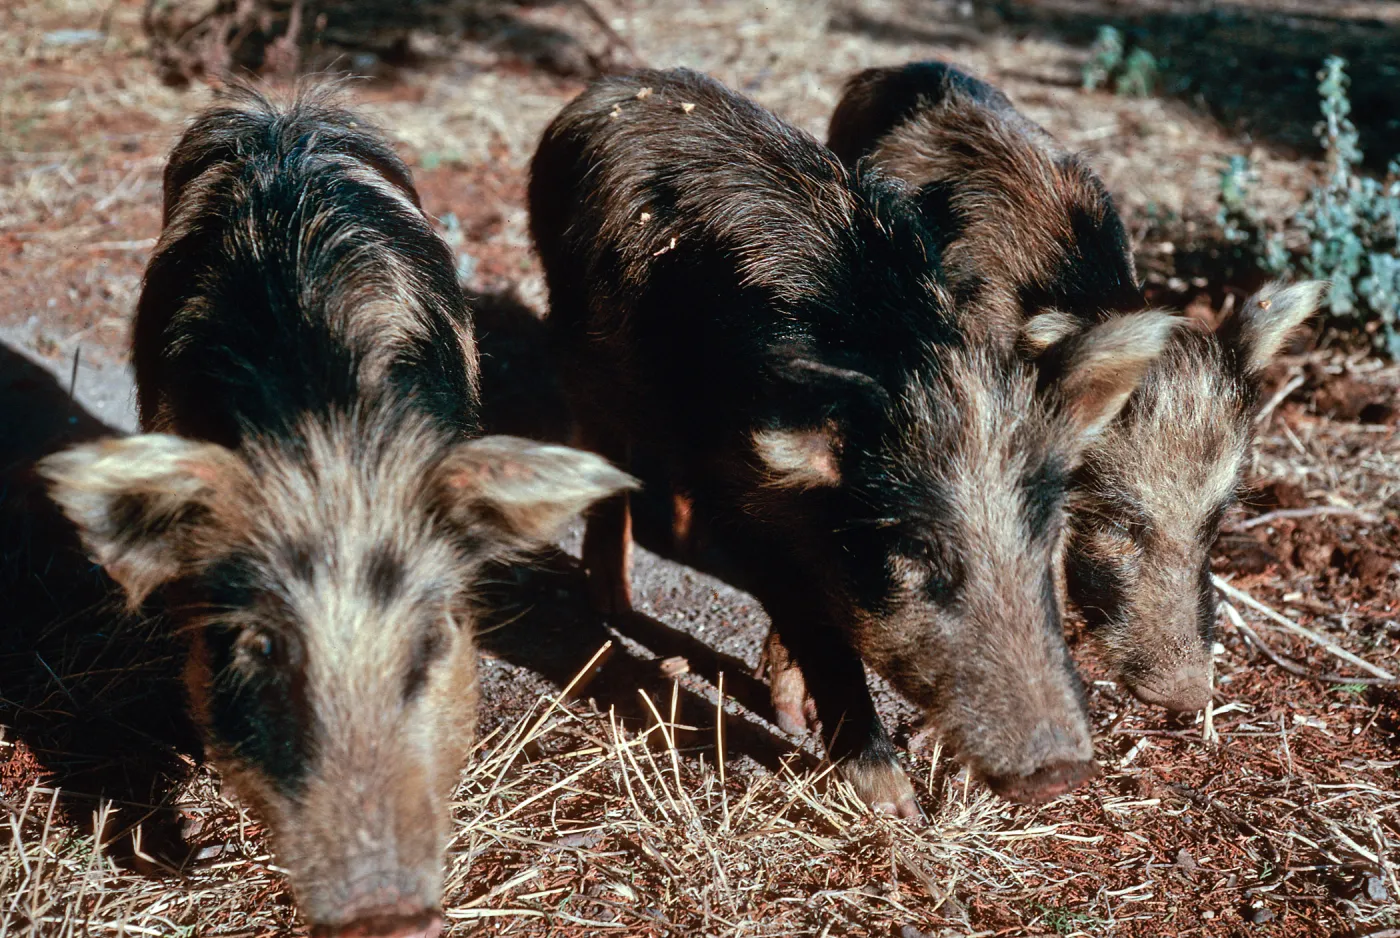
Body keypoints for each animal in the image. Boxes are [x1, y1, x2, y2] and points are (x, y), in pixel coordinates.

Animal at [528, 68, 1176, 813]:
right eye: (913, 553)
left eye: (1045, 541)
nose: (1061, 771)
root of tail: (613, 86)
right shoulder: (749, 500)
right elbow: (819, 629)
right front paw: (893, 806)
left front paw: (793, 713)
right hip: (578, 343)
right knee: (606, 452)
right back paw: (612, 600)